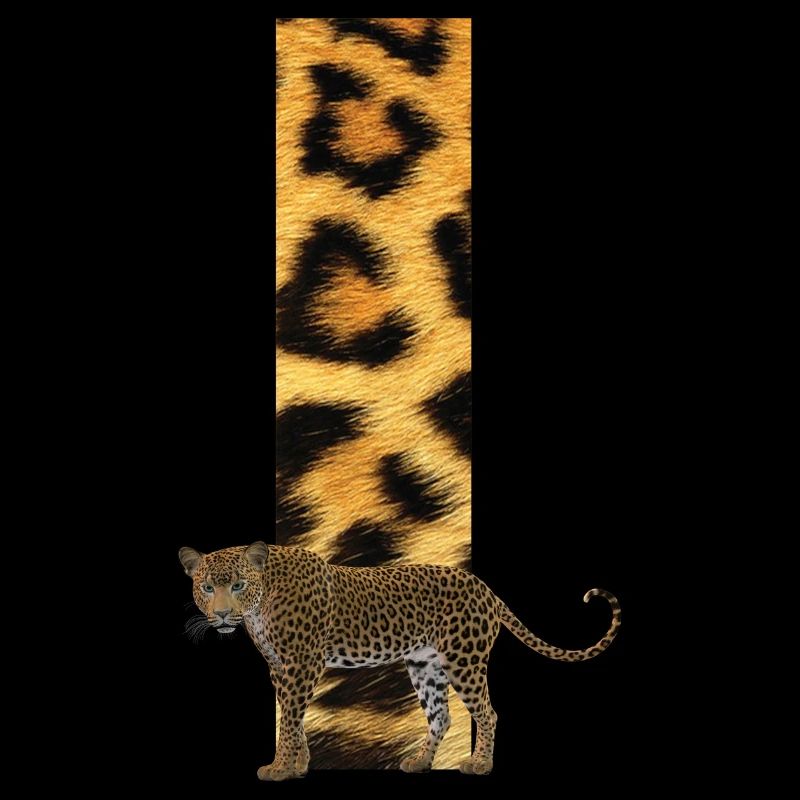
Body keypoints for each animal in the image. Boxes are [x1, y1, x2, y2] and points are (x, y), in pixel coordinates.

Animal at [179, 541, 621, 780]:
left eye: (238, 585)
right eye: (207, 588)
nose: (222, 615)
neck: (259, 603)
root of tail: (485, 588)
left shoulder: (301, 664)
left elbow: (288, 720)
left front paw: (281, 768)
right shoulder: (280, 668)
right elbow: (293, 718)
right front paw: (298, 764)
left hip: (463, 659)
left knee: (487, 713)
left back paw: (478, 764)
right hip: (425, 666)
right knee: (441, 716)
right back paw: (420, 762)